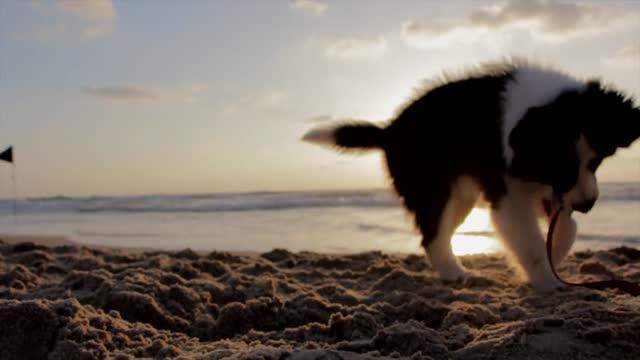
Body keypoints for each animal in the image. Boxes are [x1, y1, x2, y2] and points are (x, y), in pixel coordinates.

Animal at [302, 59, 640, 290]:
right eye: (560, 166)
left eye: (596, 162)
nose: (588, 205)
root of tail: (390, 131)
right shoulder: (511, 191)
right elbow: (531, 240)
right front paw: (547, 279)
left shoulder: (543, 187)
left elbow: (567, 228)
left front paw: (553, 258)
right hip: (433, 188)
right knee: (432, 235)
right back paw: (454, 273)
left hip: (460, 195)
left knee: (438, 233)